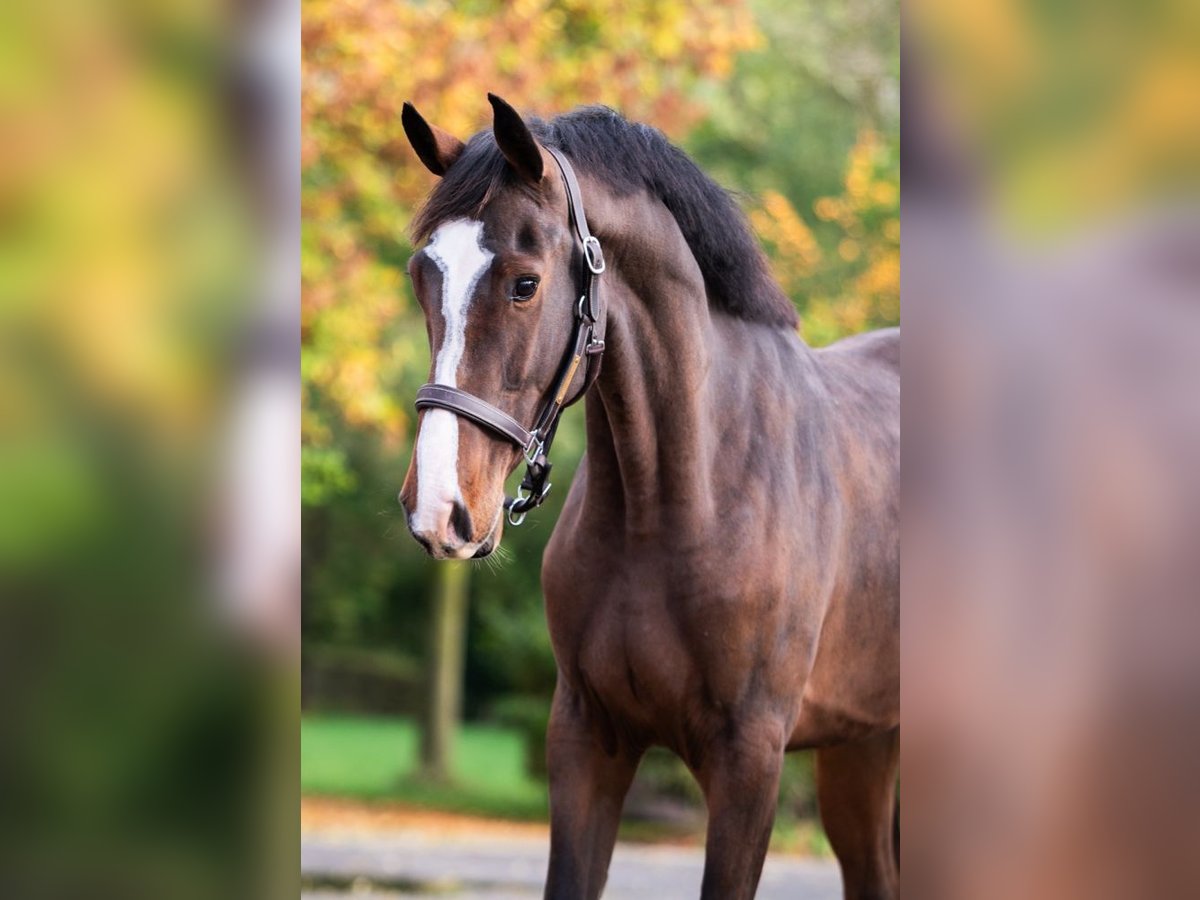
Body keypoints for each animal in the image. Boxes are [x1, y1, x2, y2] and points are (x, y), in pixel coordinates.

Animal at [398, 97, 897, 900]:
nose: (440, 510)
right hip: (863, 745)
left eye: (524, 283)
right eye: (422, 275)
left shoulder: (749, 762)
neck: (675, 505)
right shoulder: (585, 739)